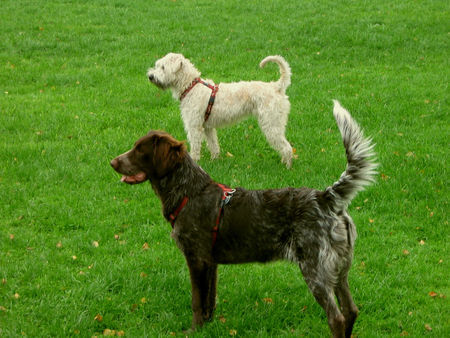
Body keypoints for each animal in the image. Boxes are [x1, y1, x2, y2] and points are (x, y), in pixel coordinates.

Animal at [110, 101, 378, 338]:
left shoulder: (196, 259)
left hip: (316, 271)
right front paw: (208, 327)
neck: (188, 192)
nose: (113, 162)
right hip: (339, 271)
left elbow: (197, 301)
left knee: (337, 318)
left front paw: (193, 331)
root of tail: (326, 198)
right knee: (351, 311)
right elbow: (209, 301)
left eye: (140, 150)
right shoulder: (211, 263)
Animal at [147, 52, 296, 168]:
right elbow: (213, 145)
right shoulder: (207, 127)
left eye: (163, 67)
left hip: (271, 125)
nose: (150, 76)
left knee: (287, 147)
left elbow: (195, 147)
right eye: (158, 65)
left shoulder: (194, 127)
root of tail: (276, 87)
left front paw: (194, 162)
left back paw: (287, 166)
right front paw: (215, 160)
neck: (190, 86)